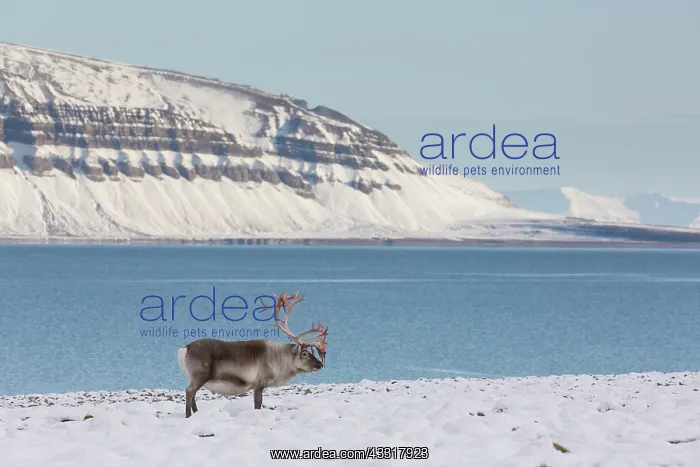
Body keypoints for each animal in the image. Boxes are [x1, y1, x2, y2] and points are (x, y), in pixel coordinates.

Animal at [177, 291, 328, 418]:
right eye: (305, 353)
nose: (320, 364)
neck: (279, 360)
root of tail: (184, 349)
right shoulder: (260, 383)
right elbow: (258, 404)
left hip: (195, 377)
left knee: (193, 393)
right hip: (200, 375)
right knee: (189, 391)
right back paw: (188, 415)